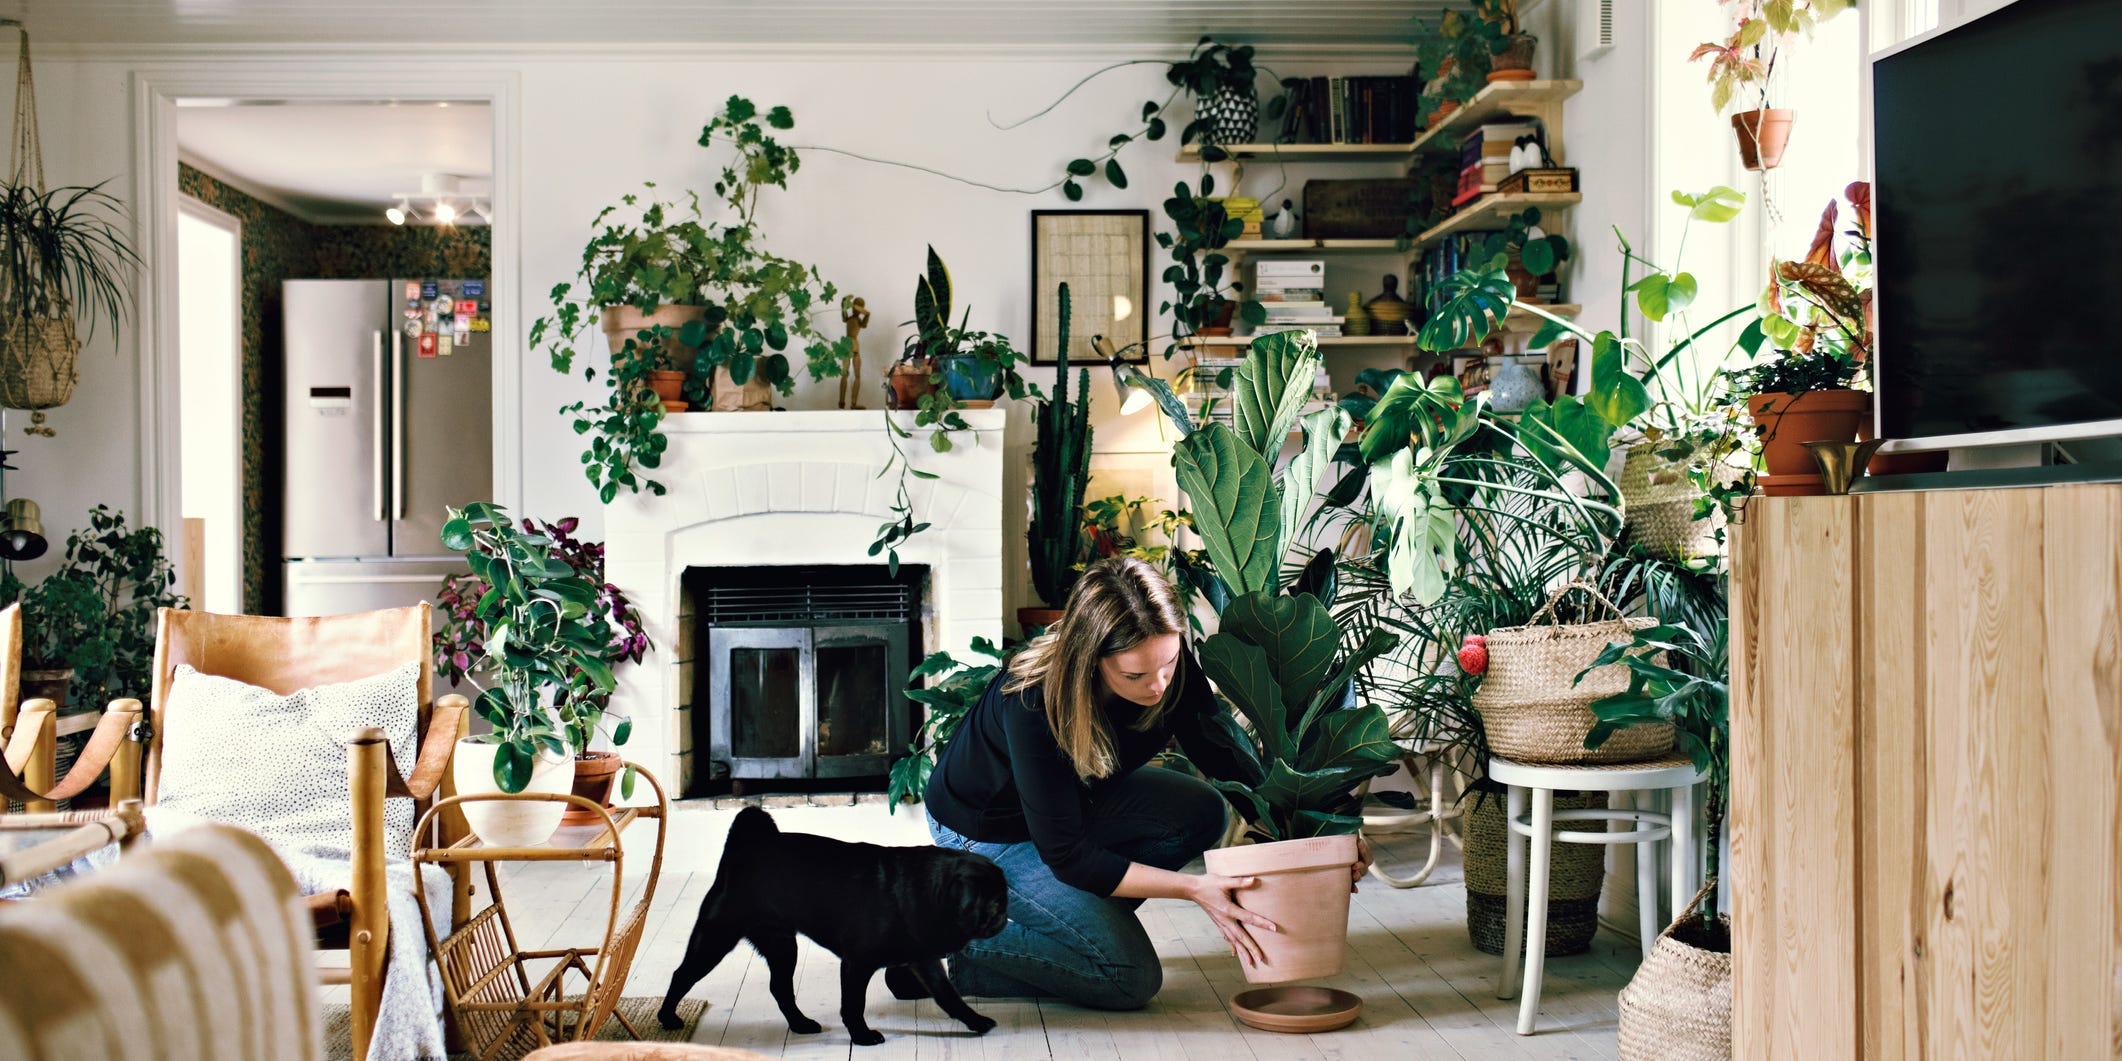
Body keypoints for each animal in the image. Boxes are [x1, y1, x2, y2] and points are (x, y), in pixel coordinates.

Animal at [657, 802, 1005, 1044]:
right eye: (989, 904)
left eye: (1002, 900)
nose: (1001, 915)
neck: (929, 893)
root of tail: (743, 849)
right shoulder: (856, 965)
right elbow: (853, 1004)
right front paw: (862, 1037)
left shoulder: (925, 961)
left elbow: (948, 997)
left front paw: (975, 1021)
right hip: (717, 937)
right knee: (681, 975)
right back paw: (667, 1017)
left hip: (782, 945)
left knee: (780, 987)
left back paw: (800, 1024)